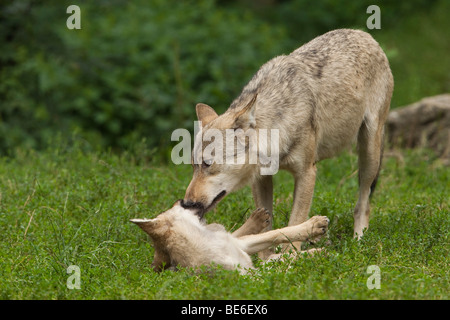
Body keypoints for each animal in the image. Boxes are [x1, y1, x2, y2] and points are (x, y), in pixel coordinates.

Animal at [129, 201, 326, 274]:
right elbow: (275, 266)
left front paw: (314, 227)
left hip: (234, 238)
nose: (183, 199)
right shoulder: (249, 274)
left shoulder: (242, 245)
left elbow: (278, 233)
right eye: (177, 204)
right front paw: (317, 255)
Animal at [181, 28, 392, 242]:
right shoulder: (261, 179)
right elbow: (266, 226)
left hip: (369, 155)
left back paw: (359, 239)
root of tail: (363, 34)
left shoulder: (307, 173)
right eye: (193, 166)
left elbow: (294, 224)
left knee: (363, 202)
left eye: (207, 164)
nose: (187, 203)